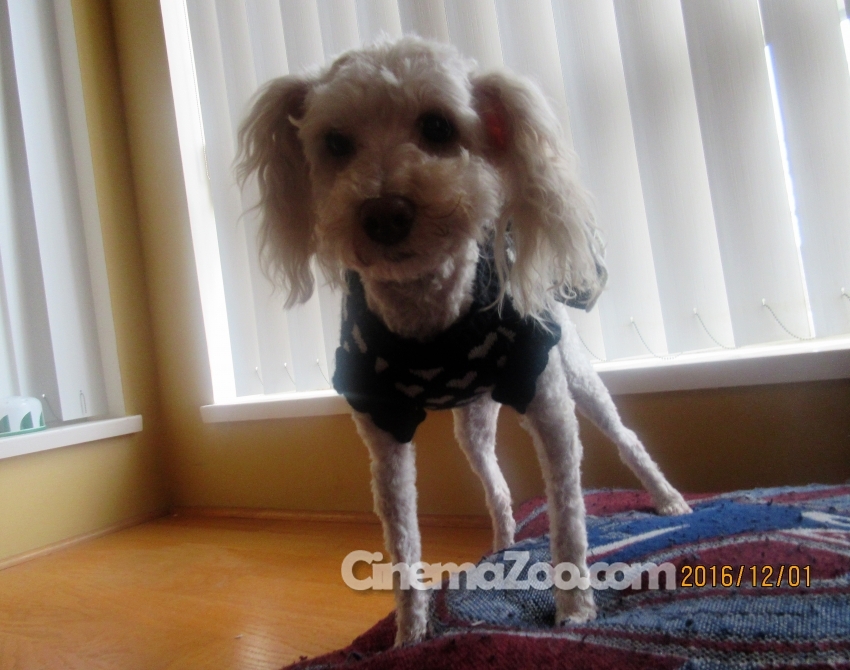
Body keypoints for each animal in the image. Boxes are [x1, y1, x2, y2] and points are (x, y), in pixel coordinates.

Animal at [237, 36, 691, 646]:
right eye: (334, 143)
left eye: (437, 126)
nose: (383, 213)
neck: (430, 317)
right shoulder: (384, 435)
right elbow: (403, 546)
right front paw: (409, 637)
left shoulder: (549, 403)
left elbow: (568, 517)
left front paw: (574, 611)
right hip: (472, 426)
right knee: (496, 486)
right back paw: (499, 547)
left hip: (579, 377)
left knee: (626, 439)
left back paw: (668, 500)